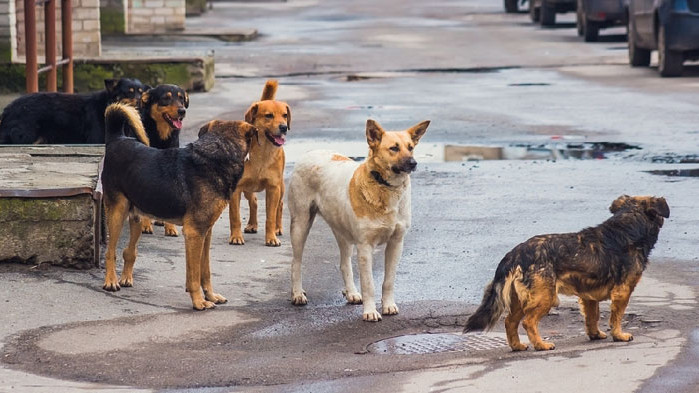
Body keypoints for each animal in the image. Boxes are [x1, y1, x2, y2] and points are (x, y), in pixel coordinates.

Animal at [0, 77, 149, 144]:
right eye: (129, 92)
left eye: (141, 92)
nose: (139, 101)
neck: (106, 105)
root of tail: (8, 110)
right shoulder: (96, 139)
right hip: (25, 137)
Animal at [101, 103, 258, 310]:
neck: (217, 154)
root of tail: (117, 139)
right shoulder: (194, 233)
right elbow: (194, 275)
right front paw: (199, 301)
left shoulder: (205, 232)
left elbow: (205, 271)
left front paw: (211, 295)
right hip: (117, 213)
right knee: (110, 252)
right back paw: (111, 281)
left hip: (136, 217)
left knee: (129, 251)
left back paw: (126, 277)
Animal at [230, 79, 290, 245]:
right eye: (269, 116)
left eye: (285, 115)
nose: (284, 127)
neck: (262, 153)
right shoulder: (236, 189)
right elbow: (235, 217)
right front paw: (236, 236)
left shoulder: (273, 188)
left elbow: (270, 217)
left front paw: (271, 238)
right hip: (247, 188)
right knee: (254, 201)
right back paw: (252, 224)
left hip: (280, 188)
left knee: (280, 206)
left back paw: (278, 228)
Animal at [286, 118, 430, 320]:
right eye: (394, 148)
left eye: (411, 147)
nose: (413, 163)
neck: (384, 186)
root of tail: (310, 152)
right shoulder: (365, 247)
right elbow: (369, 284)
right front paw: (370, 312)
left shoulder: (396, 243)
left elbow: (388, 281)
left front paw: (388, 305)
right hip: (300, 224)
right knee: (296, 262)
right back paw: (297, 293)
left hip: (342, 232)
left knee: (344, 263)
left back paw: (352, 293)